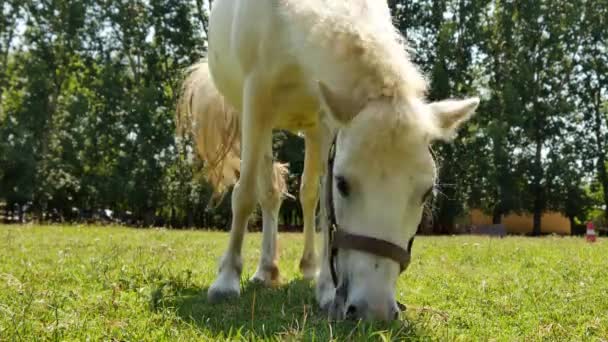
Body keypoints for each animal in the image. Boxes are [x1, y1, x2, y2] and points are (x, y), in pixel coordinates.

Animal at [177, 0, 480, 320]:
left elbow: (323, 202)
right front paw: (226, 281)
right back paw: (266, 270)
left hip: (315, 128)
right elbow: (245, 194)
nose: (374, 310)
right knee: (268, 192)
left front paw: (326, 290)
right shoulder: (256, 98)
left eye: (425, 193)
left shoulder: (329, 119)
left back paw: (309, 268)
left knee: (308, 195)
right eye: (343, 184)